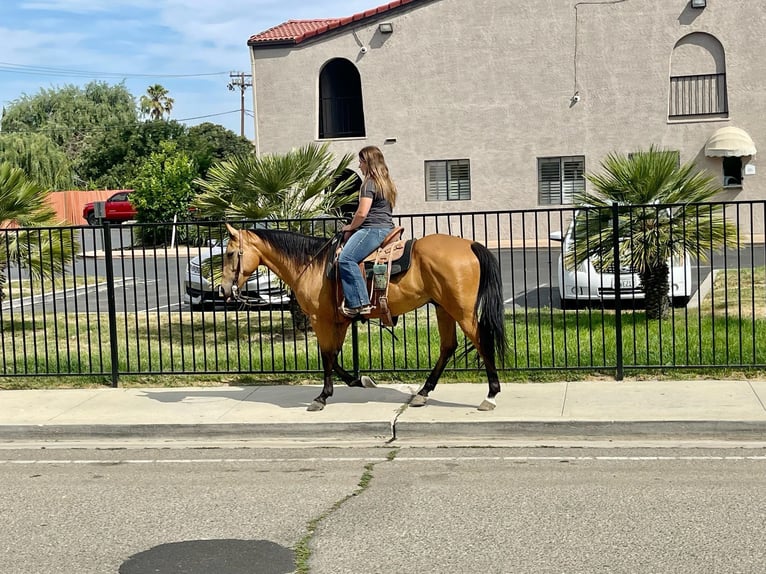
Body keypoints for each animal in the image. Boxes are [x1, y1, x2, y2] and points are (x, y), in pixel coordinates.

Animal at [220, 223, 510, 412]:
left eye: (230, 253)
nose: (223, 290)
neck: (312, 264)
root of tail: (470, 244)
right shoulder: (339, 321)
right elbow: (334, 356)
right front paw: (359, 380)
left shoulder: (320, 319)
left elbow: (326, 355)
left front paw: (322, 397)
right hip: (443, 308)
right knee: (448, 347)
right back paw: (422, 393)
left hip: (461, 310)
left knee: (482, 342)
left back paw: (491, 396)